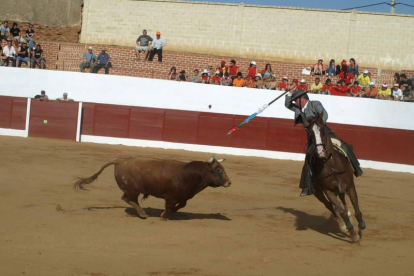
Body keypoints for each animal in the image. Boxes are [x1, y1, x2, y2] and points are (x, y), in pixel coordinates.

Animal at [73, 155, 231, 220]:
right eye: (218, 170)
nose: (229, 183)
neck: (190, 174)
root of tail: (119, 161)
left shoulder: (183, 197)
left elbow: (181, 205)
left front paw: (168, 213)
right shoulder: (171, 197)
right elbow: (169, 206)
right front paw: (164, 216)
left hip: (133, 190)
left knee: (130, 199)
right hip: (132, 189)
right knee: (127, 198)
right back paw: (143, 214)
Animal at [304, 112, 366, 242]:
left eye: (322, 129)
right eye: (310, 133)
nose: (320, 152)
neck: (330, 164)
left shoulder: (350, 186)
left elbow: (356, 208)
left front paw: (361, 226)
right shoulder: (328, 191)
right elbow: (340, 211)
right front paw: (352, 232)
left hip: (340, 189)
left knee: (343, 202)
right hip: (318, 192)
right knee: (331, 206)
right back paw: (343, 225)